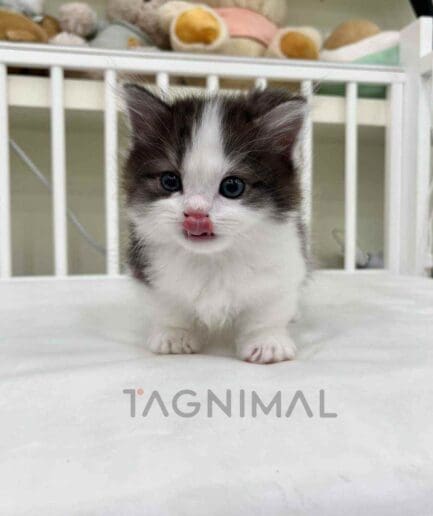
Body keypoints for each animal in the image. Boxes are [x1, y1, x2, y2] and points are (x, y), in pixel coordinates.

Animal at [123, 86, 308, 364]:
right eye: (170, 181)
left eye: (232, 186)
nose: (195, 213)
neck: (211, 259)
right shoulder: (148, 266)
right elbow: (166, 302)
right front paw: (175, 334)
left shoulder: (283, 259)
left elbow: (268, 305)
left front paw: (266, 340)